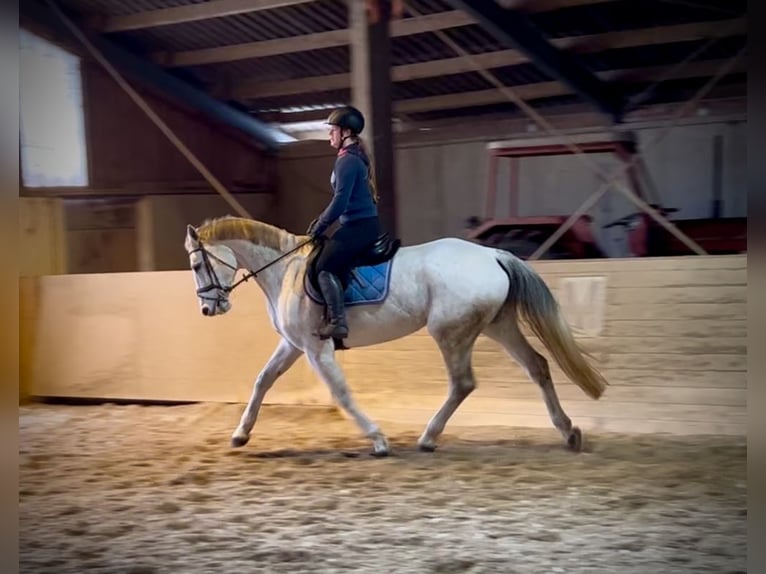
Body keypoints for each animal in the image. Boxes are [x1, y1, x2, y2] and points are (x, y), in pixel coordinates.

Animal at [183, 217, 608, 460]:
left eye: (197, 263)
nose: (208, 308)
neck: (287, 269)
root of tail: (492, 254)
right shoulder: (293, 345)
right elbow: (262, 381)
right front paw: (240, 435)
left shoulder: (316, 348)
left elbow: (341, 393)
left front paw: (378, 440)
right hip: (498, 325)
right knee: (538, 367)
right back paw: (568, 432)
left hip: (451, 332)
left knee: (463, 383)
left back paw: (428, 437)